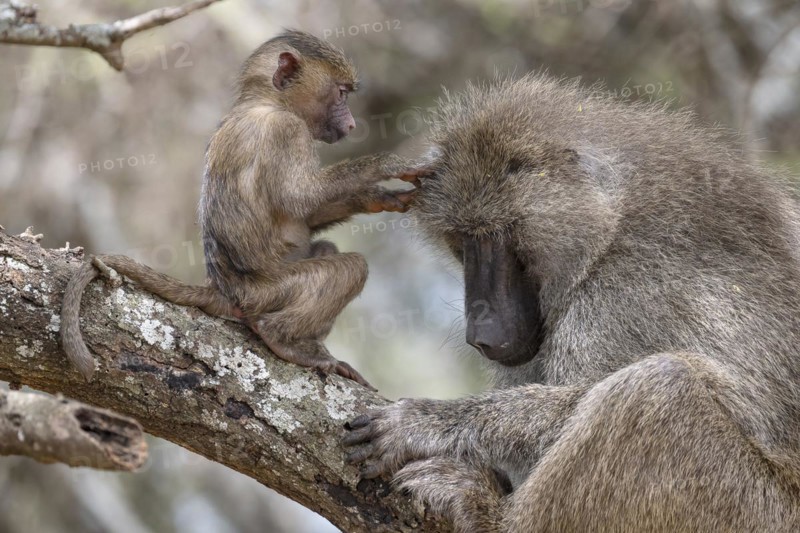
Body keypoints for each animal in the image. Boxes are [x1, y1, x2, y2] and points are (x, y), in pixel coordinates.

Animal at [61, 30, 420, 387]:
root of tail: (221, 289)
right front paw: (385, 165)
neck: (266, 101)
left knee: (327, 249)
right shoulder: (286, 130)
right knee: (349, 269)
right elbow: (302, 196)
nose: (352, 125)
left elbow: (306, 213)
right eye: (342, 93)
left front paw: (377, 197)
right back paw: (281, 338)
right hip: (264, 293)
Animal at [343, 73, 800, 531]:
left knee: (659, 385)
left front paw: (423, 421)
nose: (482, 334)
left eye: (502, 236)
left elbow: (578, 401)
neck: (610, 227)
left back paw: (489, 514)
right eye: (464, 242)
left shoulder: (628, 294)